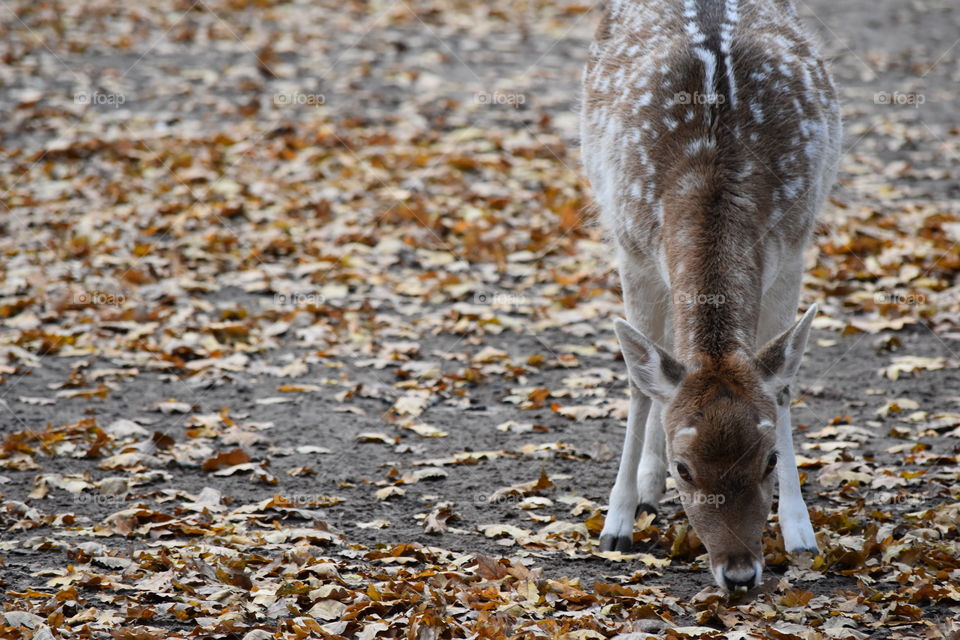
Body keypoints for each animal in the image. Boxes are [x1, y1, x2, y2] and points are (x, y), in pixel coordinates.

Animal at [576, 0, 840, 592]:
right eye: (685, 468)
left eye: (769, 459)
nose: (740, 573)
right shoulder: (632, 247)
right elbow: (638, 382)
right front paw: (616, 523)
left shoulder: (792, 247)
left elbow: (781, 387)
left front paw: (801, 532)